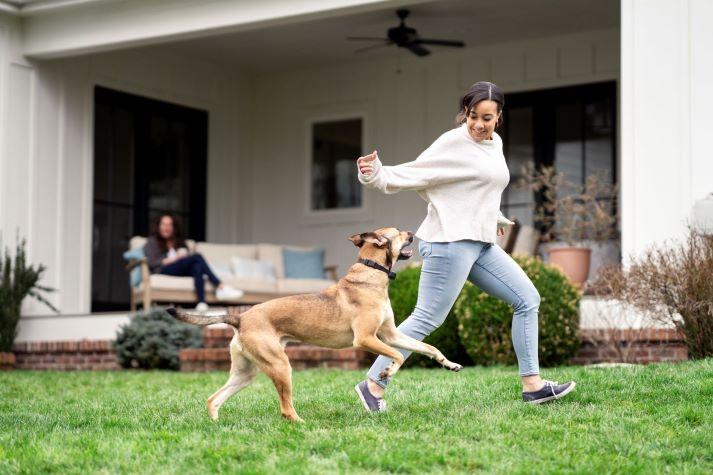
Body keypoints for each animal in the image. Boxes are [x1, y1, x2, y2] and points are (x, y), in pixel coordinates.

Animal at [165, 228, 462, 424]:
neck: (370, 275)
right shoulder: (367, 339)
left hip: (246, 372)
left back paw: (217, 426)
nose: (413, 232)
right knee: (285, 409)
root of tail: (240, 317)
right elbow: (398, 356)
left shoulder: (389, 334)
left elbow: (426, 347)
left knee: (213, 399)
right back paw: (302, 425)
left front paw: (449, 363)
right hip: (280, 366)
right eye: (398, 232)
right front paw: (387, 371)